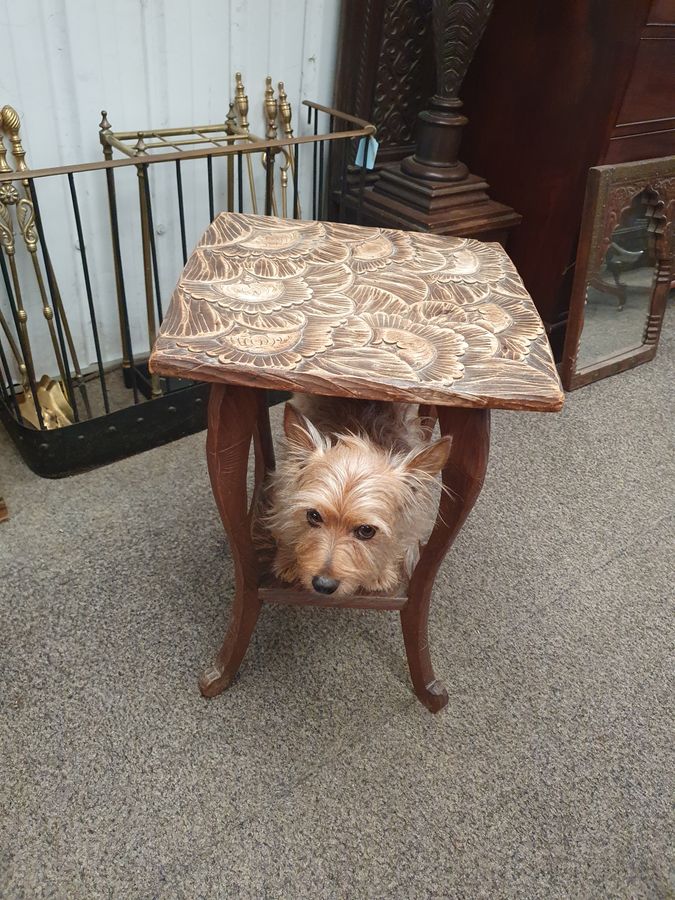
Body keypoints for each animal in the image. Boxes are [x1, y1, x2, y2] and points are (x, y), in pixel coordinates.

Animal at [266, 396, 452, 596]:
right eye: (313, 516)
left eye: (367, 530)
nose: (323, 585)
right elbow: (285, 527)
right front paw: (288, 559)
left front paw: (381, 572)